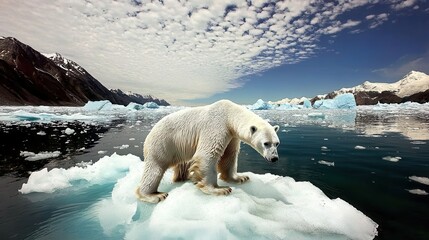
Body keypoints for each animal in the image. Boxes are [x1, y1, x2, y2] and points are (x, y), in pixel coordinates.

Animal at [135, 99, 280, 202]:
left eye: (277, 143)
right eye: (266, 143)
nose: (274, 158)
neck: (229, 114)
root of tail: (150, 134)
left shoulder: (231, 135)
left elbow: (230, 155)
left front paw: (240, 177)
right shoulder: (217, 125)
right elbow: (207, 154)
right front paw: (219, 189)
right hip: (162, 144)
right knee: (155, 169)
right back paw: (154, 195)